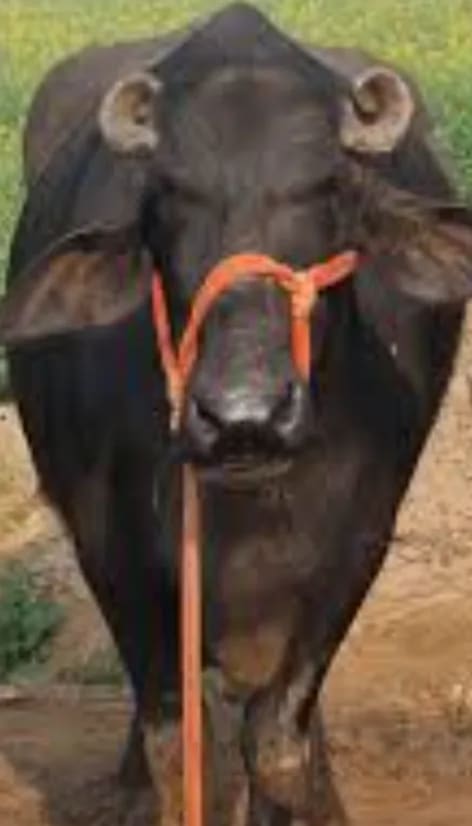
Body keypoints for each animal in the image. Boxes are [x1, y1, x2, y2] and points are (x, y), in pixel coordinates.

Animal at [1, 3, 472, 824]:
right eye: (167, 195)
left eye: (329, 187)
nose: (243, 417)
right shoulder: (113, 556)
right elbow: (180, 745)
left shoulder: (354, 550)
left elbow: (277, 739)